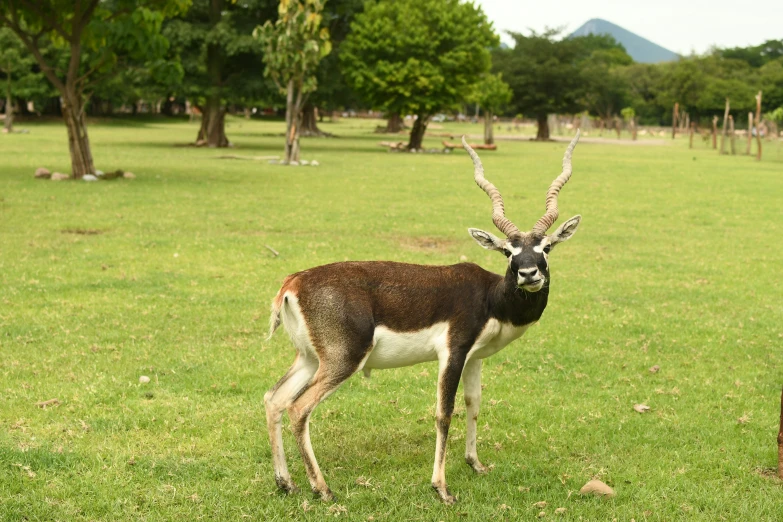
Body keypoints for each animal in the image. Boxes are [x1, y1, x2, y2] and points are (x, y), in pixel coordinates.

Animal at [266, 129, 584, 500]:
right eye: (508, 251)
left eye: (546, 247)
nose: (529, 273)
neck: (491, 297)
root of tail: (294, 282)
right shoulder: (453, 352)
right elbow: (444, 413)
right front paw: (441, 487)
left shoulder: (475, 357)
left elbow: (474, 403)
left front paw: (476, 464)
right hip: (343, 360)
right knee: (298, 408)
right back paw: (323, 488)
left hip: (309, 358)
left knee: (274, 399)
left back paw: (286, 482)